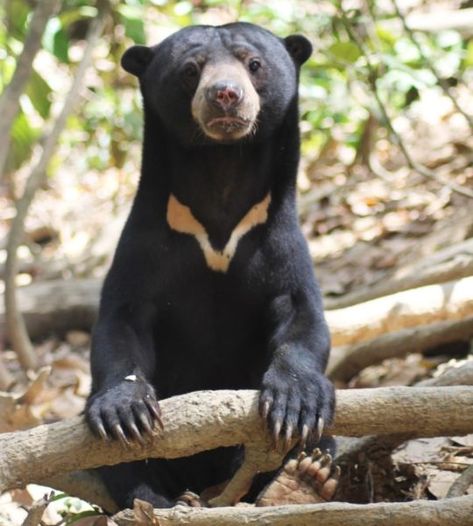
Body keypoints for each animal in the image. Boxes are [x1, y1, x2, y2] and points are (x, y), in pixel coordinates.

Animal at [85, 21, 336, 512]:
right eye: (190, 70)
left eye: (253, 63)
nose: (225, 94)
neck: (221, 173)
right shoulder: (147, 242)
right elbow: (121, 322)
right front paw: (126, 409)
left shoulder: (277, 239)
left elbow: (302, 314)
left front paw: (295, 400)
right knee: (119, 463)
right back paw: (153, 504)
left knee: (325, 441)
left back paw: (303, 478)